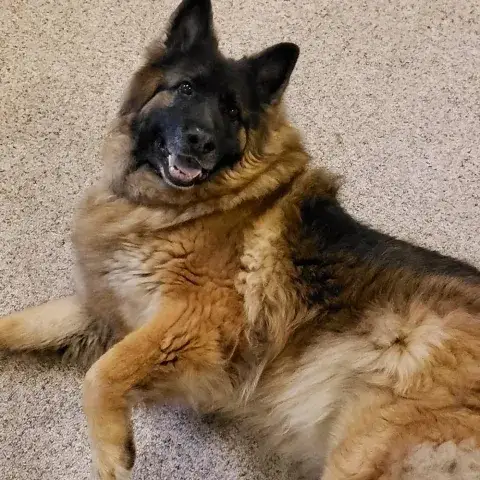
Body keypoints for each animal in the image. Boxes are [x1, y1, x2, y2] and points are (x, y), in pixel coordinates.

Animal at [2, 0, 480, 478]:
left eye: (232, 112)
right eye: (186, 89)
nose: (201, 141)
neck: (187, 206)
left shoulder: (191, 318)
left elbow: (101, 373)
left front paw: (111, 453)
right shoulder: (106, 310)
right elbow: (21, 324)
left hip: (363, 449)